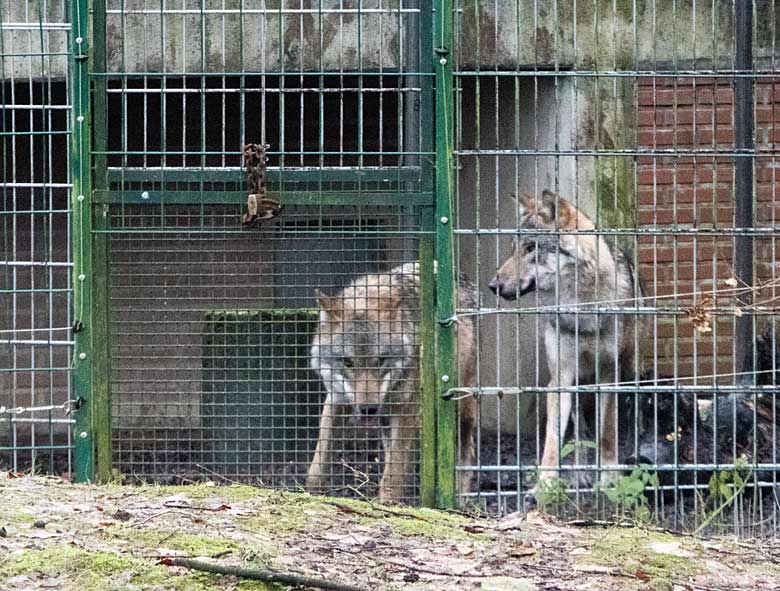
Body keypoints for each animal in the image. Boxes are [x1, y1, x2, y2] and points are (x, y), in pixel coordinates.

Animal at [308, 262, 478, 502]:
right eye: (348, 362)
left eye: (381, 360)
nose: (368, 409)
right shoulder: (337, 399)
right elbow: (319, 461)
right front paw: (312, 492)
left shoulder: (407, 406)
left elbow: (394, 469)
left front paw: (387, 501)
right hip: (386, 419)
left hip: (459, 408)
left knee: (466, 451)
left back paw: (460, 499)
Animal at [488, 192, 644, 488]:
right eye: (513, 249)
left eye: (531, 248)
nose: (493, 286)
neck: (581, 309)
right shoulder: (561, 377)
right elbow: (554, 438)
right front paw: (546, 483)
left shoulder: (609, 372)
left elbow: (607, 431)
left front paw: (609, 476)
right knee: (580, 430)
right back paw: (580, 474)